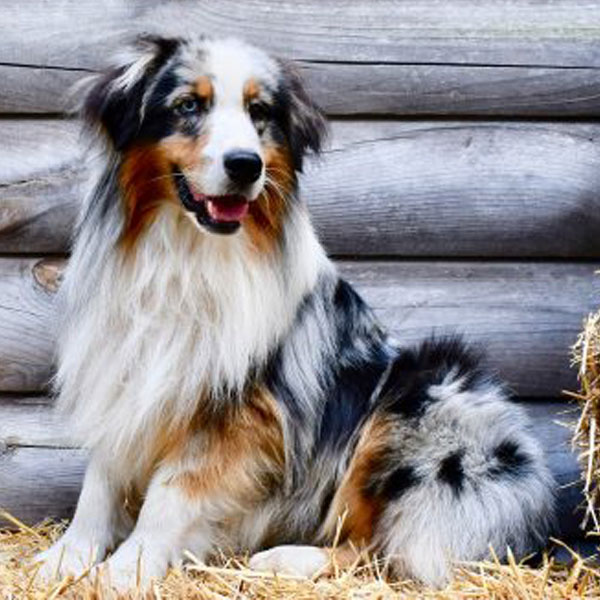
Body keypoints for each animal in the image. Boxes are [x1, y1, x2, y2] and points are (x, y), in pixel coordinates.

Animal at [35, 36, 556, 592]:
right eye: (189, 105)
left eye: (259, 112)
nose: (245, 164)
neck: (185, 255)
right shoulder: (120, 366)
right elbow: (100, 480)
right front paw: (66, 558)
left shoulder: (239, 411)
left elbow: (169, 494)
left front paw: (123, 572)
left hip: (422, 403)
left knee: (383, 549)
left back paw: (285, 559)